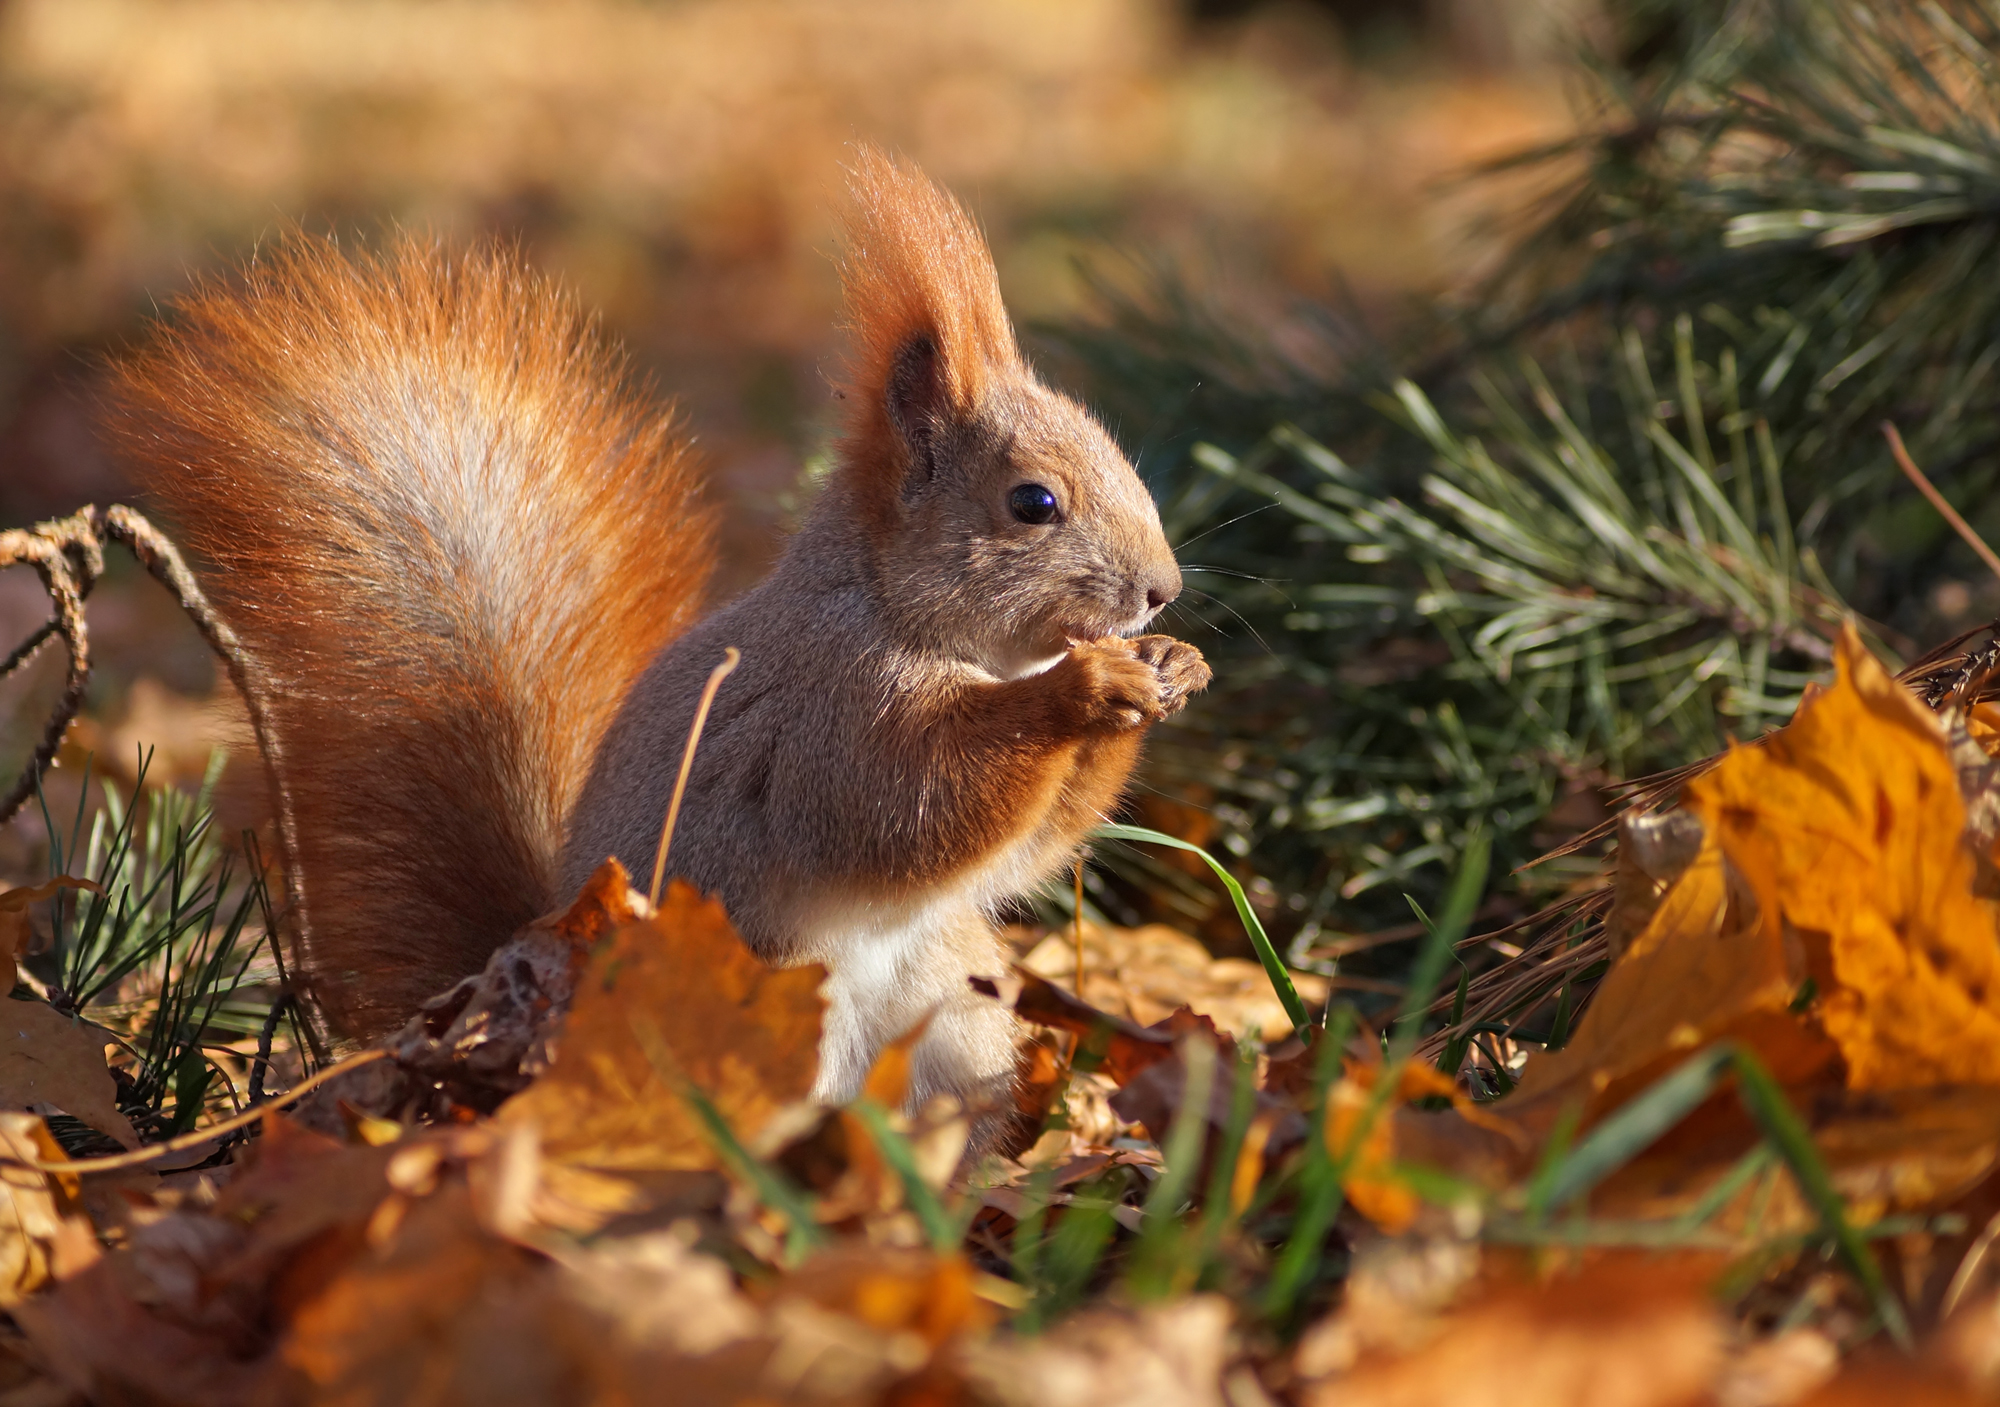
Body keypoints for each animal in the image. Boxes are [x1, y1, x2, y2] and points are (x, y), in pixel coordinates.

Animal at [109, 147, 1208, 1119]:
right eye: (1032, 502)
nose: (1162, 591)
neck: (892, 607)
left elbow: (1025, 853)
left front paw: (1169, 668)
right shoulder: (828, 710)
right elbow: (907, 805)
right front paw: (1082, 690)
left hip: (958, 1017)